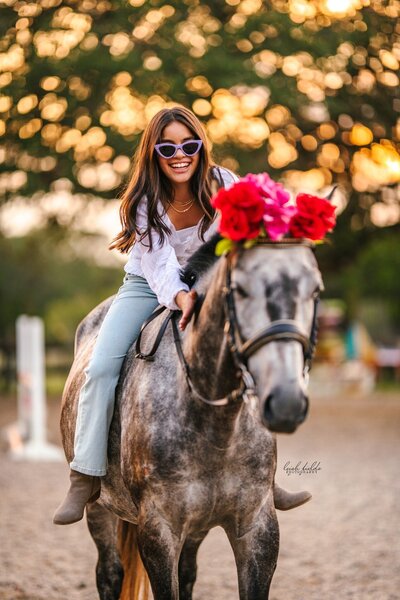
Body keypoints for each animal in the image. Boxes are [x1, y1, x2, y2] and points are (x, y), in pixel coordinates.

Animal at [60, 237, 322, 596]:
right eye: (240, 289)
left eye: (315, 290)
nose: (286, 402)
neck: (216, 424)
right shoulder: (159, 532)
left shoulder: (258, 528)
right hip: (99, 508)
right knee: (110, 574)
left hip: (197, 527)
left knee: (186, 573)